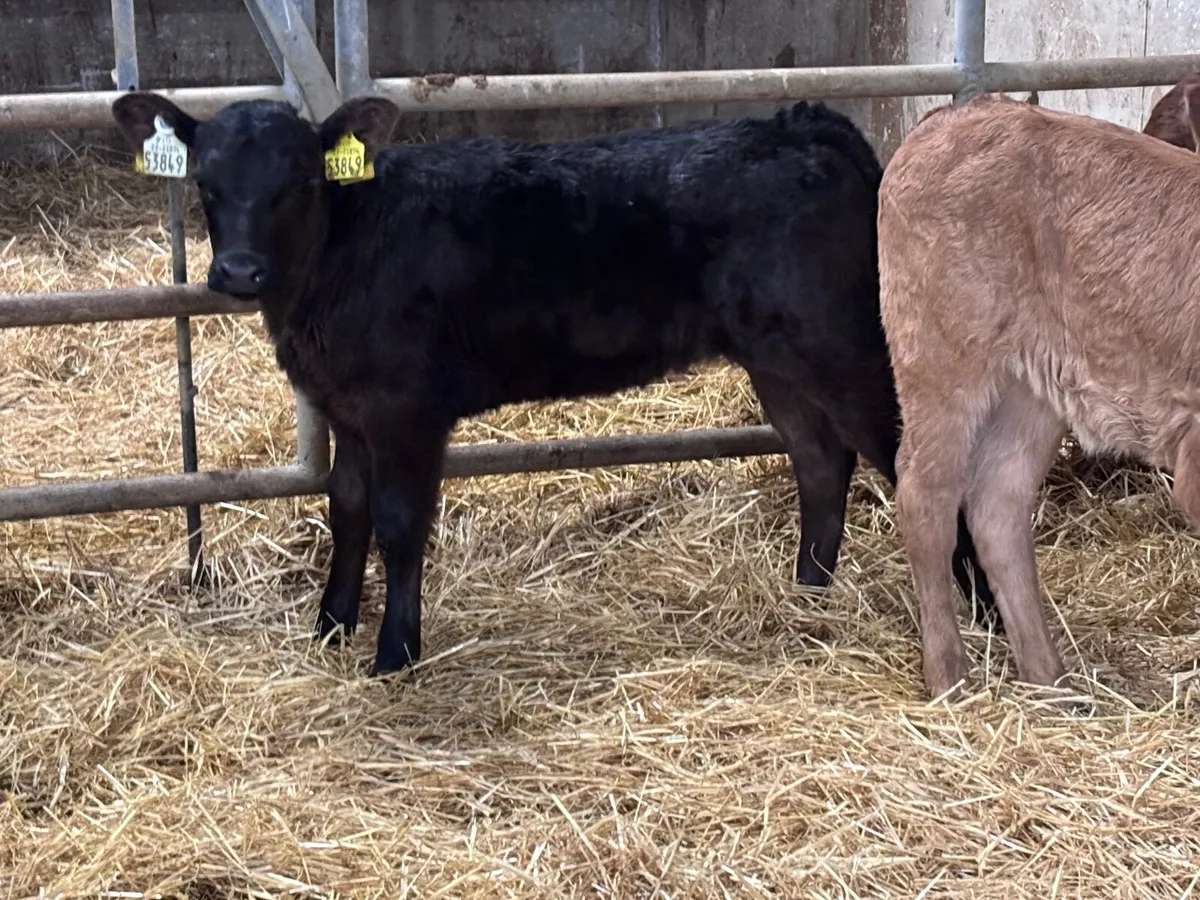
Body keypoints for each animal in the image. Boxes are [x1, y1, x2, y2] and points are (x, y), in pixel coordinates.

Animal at [112, 90, 995, 677]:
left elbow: (398, 524)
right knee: (820, 463)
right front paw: (330, 628)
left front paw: (395, 653)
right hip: (775, 358)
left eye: (299, 182)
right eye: (206, 183)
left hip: (843, 345)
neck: (337, 259)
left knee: (918, 468)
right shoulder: (348, 407)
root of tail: (803, 121)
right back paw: (807, 594)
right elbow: (347, 509)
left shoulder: (406, 410)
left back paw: (982, 615)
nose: (237, 271)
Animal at [879, 92, 1200, 699]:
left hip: (1035, 388)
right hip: (941, 359)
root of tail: (960, 113)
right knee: (925, 493)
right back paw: (950, 676)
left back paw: (1050, 679)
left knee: (997, 501)